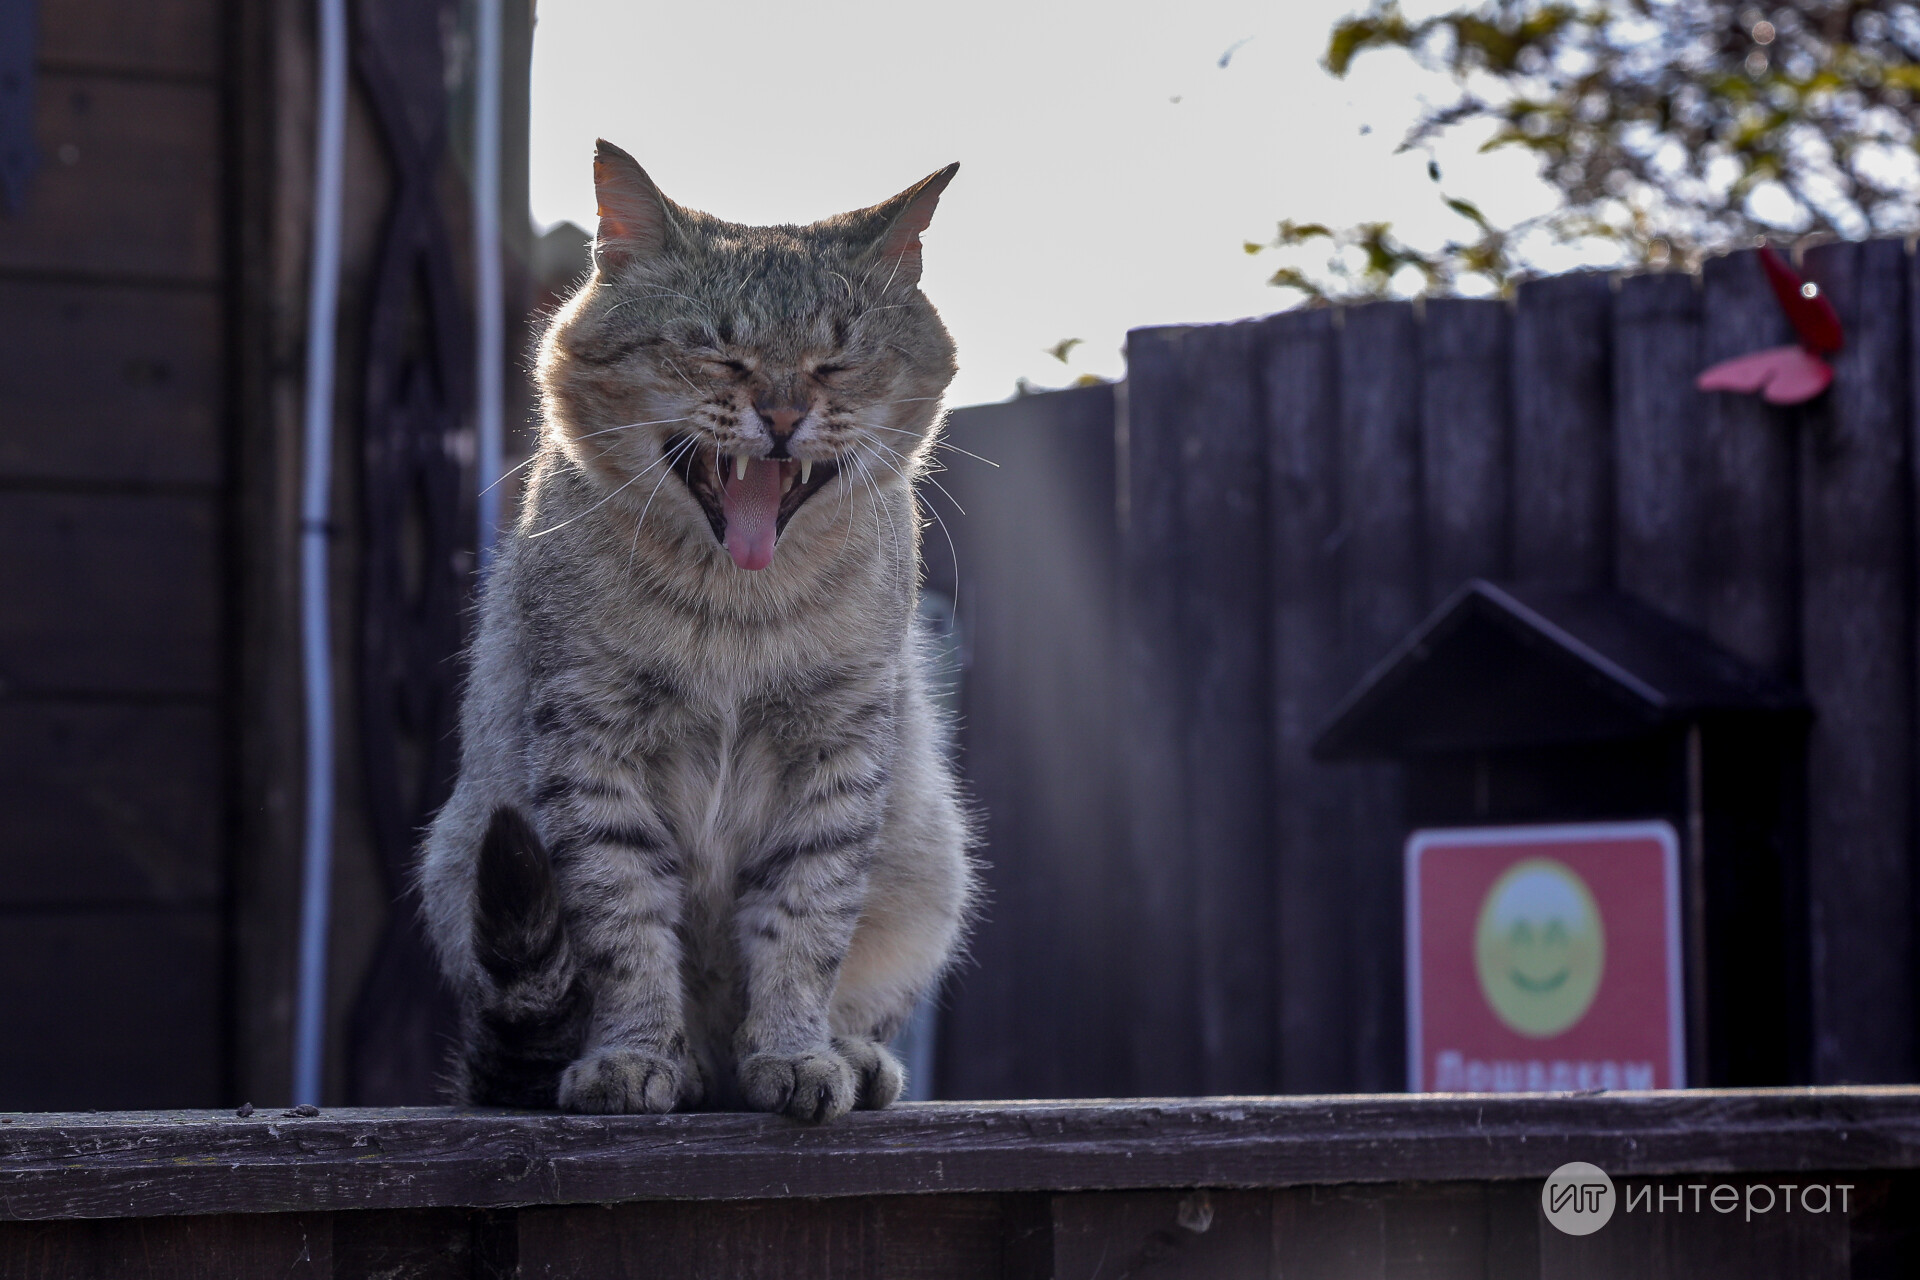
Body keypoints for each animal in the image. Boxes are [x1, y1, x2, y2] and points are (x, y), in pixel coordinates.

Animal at [422, 142, 983, 1120]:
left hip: (931, 861)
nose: (785, 417)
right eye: (716, 352)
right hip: (458, 861)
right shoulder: (593, 746)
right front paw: (634, 1057)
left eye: (837, 362)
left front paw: (796, 1055)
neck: (736, 609)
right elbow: (623, 925)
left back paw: (846, 1055)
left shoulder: (837, 751)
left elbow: (805, 922)